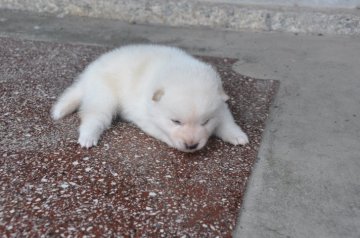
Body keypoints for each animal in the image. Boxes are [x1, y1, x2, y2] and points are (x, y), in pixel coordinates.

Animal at [51, 44, 248, 152]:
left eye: (205, 122)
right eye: (176, 121)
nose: (191, 145)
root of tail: (88, 75)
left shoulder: (221, 107)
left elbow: (227, 122)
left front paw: (237, 136)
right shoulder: (146, 118)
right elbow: (162, 131)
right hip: (103, 97)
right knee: (93, 117)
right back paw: (87, 137)